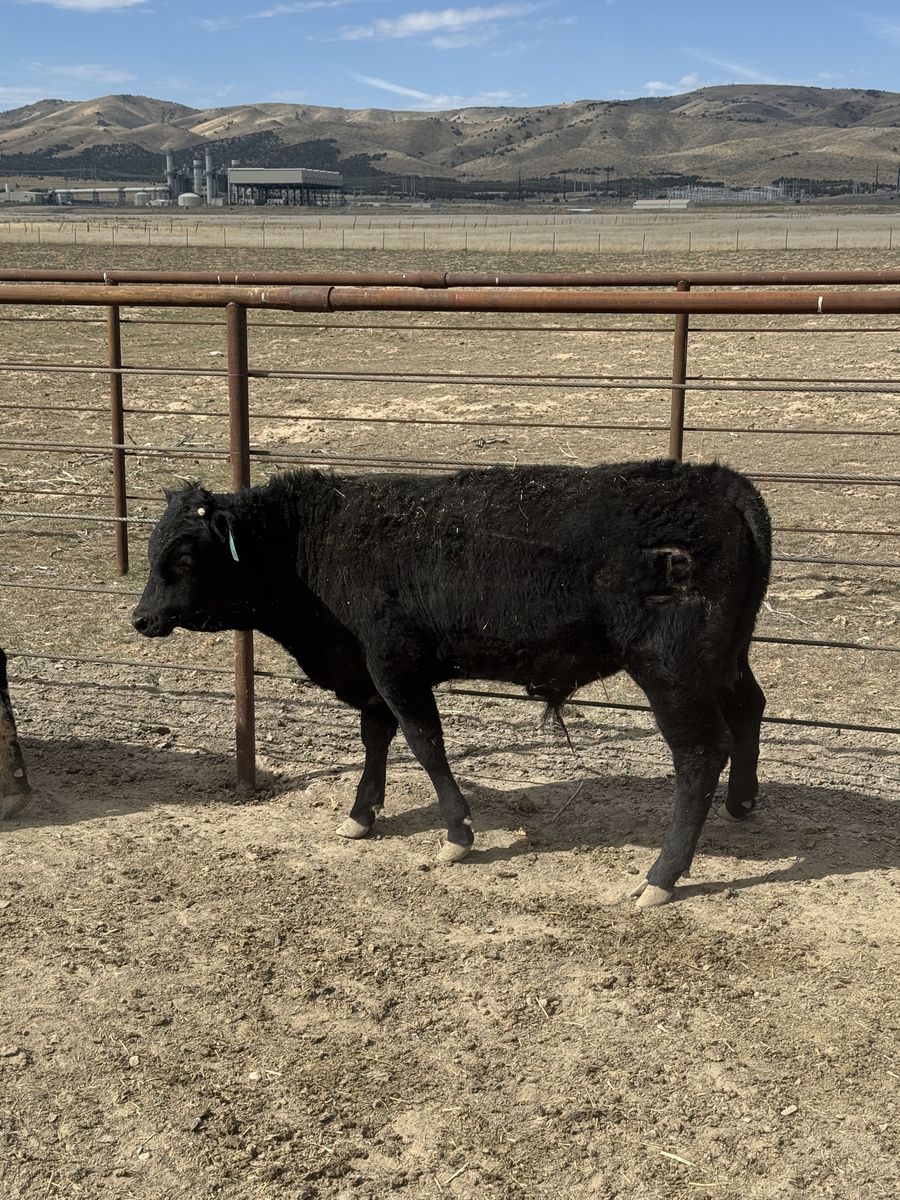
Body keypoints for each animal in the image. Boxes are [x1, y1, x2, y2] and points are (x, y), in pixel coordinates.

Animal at [132, 459, 771, 907]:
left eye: (183, 557)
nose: (140, 618)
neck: (313, 542)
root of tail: (717, 481)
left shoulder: (393, 663)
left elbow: (425, 743)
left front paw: (457, 834)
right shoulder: (369, 672)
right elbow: (377, 738)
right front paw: (361, 815)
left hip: (671, 670)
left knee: (698, 754)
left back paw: (661, 876)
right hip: (724, 661)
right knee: (749, 708)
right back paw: (741, 801)